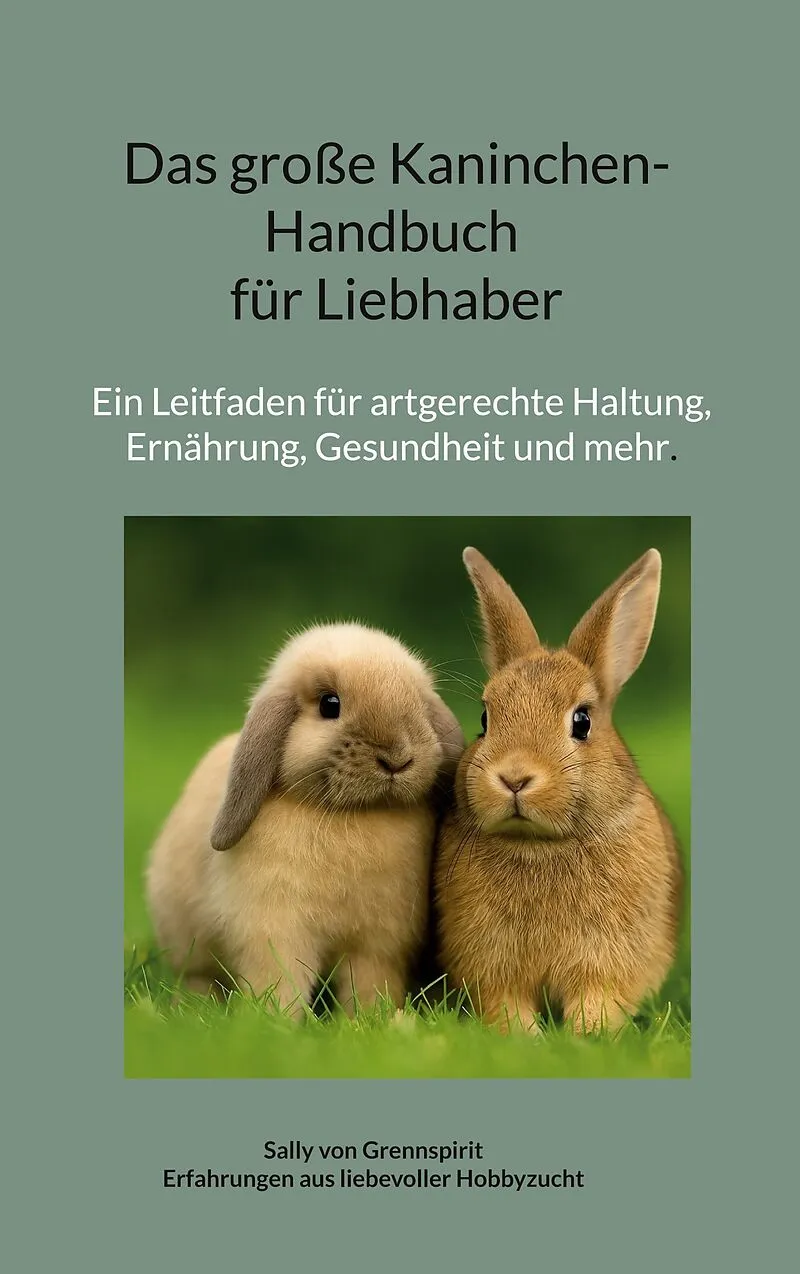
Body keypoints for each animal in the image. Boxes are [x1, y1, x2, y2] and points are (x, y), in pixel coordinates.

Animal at [146, 622, 465, 1016]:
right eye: (330, 704)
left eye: (419, 704)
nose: (397, 758)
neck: (354, 815)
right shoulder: (276, 932)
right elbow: (280, 983)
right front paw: (271, 1021)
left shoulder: (378, 944)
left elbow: (370, 985)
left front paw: (371, 1019)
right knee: (199, 978)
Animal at [434, 547, 683, 1034]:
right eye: (485, 719)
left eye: (582, 721)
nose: (514, 778)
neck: (541, 845)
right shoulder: (491, 964)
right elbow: (506, 1003)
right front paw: (523, 1037)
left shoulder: (609, 961)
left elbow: (598, 999)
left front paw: (588, 1035)